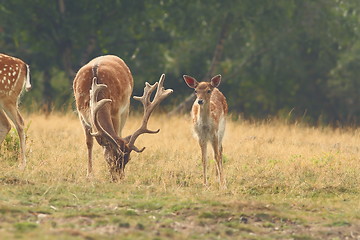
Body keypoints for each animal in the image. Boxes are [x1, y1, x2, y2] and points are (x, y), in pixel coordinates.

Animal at [73, 54, 172, 182]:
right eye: (110, 159)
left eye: (128, 160)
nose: (119, 178)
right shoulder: (81, 115)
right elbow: (89, 143)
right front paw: (89, 175)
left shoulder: (116, 111)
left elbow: (116, 134)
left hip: (126, 108)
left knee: (120, 132)